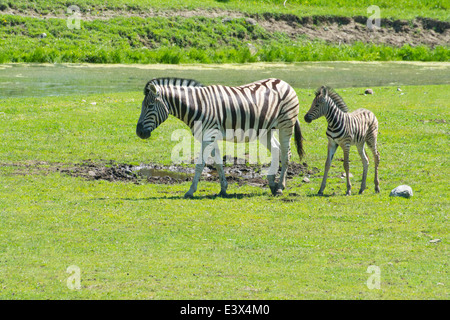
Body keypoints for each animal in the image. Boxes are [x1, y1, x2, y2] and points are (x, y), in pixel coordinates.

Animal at [136, 77, 306, 198]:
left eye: (149, 106)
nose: (139, 133)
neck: (199, 105)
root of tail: (284, 82)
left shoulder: (209, 135)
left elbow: (200, 164)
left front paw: (190, 191)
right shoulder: (209, 136)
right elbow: (217, 163)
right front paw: (223, 189)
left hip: (286, 124)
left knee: (286, 154)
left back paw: (280, 187)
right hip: (266, 130)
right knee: (277, 150)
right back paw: (272, 183)